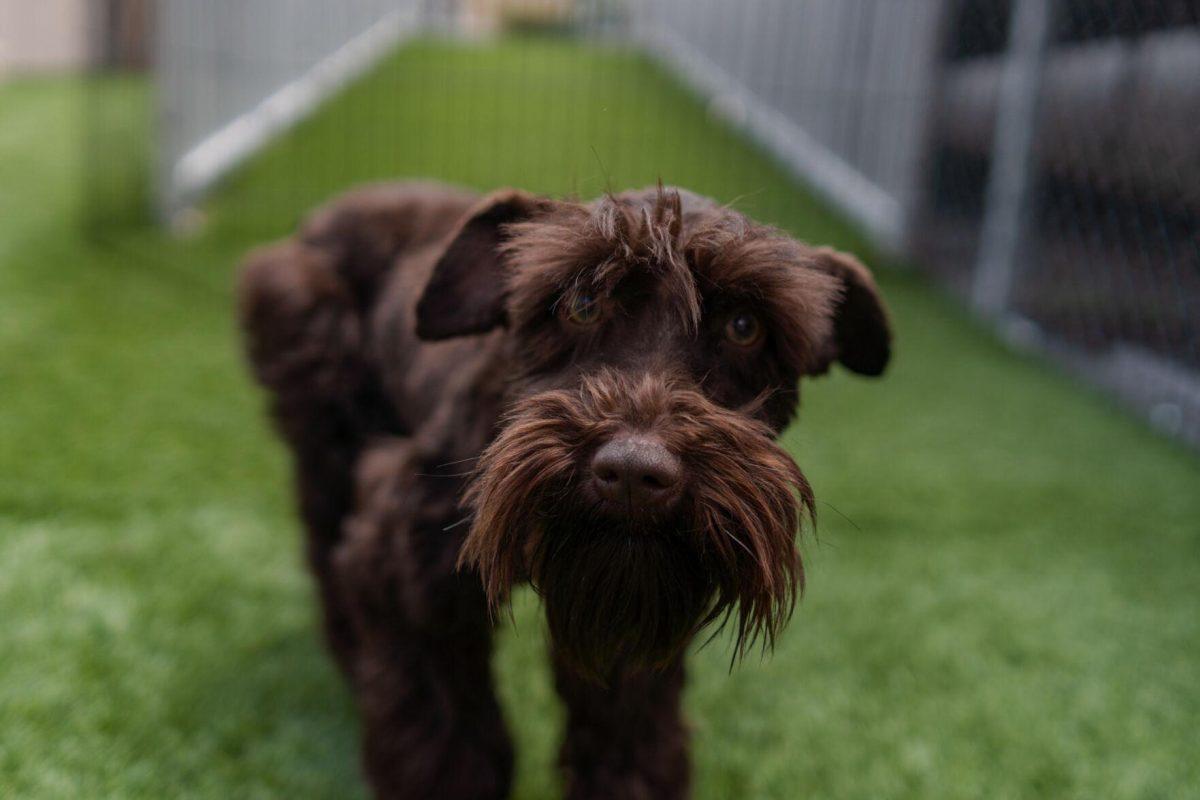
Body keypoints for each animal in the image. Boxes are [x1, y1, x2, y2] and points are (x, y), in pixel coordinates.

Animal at [236, 183, 892, 800]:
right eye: (580, 303)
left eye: (745, 326)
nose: (633, 475)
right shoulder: (403, 577)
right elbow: (447, 753)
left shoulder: (638, 629)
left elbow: (630, 749)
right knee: (324, 544)